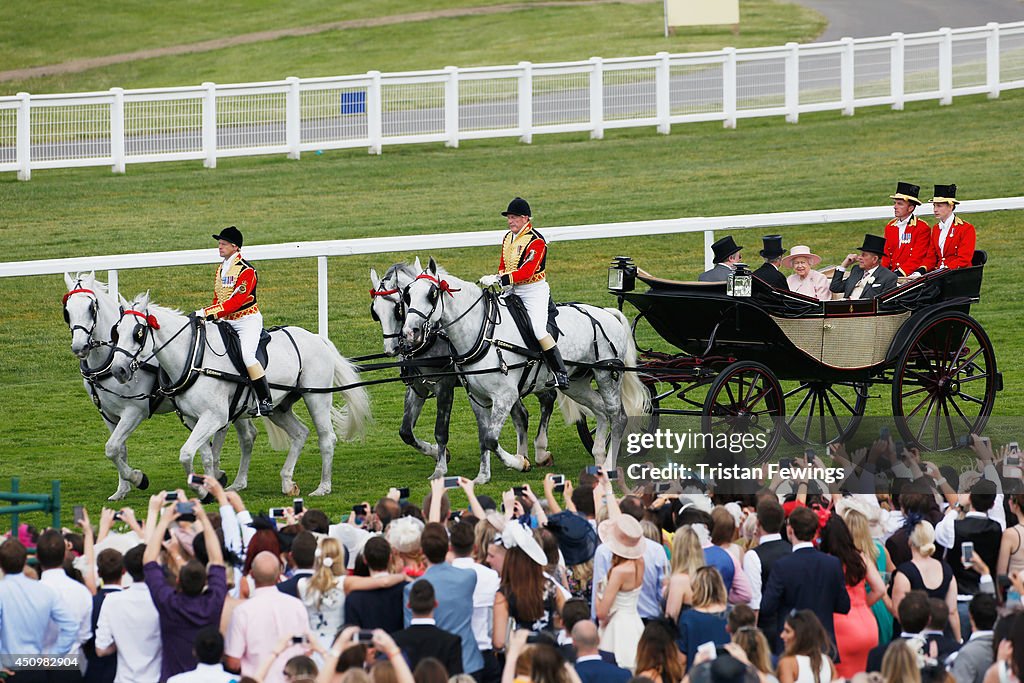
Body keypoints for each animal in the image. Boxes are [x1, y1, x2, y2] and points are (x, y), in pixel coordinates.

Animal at [62, 270, 260, 499]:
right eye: (67, 311)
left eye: (91, 308)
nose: (79, 347)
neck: (110, 357)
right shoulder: (109, 414)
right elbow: (117, 449)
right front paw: (122, 489)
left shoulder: (134, 411)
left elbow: (112, 448)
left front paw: (138, 478)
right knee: (241, 432)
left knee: (242, 435)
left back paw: (228, 478)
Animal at [108, 290, 370, 497]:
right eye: (117, 331)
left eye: (138, 333)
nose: (118, 370)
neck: (195, 357)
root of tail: (316, 338)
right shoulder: (194, 419)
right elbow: (204, 455)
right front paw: (209, 486)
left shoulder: (214, 417)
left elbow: (186, 453)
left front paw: (202, 489)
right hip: (279, 407)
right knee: (300, 433)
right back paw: (287, 482)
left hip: (317, 397)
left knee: (327, 438)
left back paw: (323, 487)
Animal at [372, 262, 557, 481]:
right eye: (375, 312)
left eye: (397, 308)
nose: (393, 347)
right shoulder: (418, 387)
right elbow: (406, 432)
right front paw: (439, 453)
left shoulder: (444, 386)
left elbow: (441, 431)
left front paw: (440, 468)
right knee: (523, 414)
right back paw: (523, 457)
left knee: (548, 398)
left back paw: (540, 452)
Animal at [401, 258, 647, 481]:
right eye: (407, 294)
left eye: (432, 294)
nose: (410, 332)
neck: (484, 334)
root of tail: (606, 313)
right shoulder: (477, 398)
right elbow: (484, 437)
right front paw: (483, 476)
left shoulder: (504, 396)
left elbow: (491, 439)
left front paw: (520, 462)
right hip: (576, 384)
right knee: (601, 410)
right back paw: (598, 457)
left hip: (607, 376)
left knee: (618, 416)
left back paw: (609, 464)